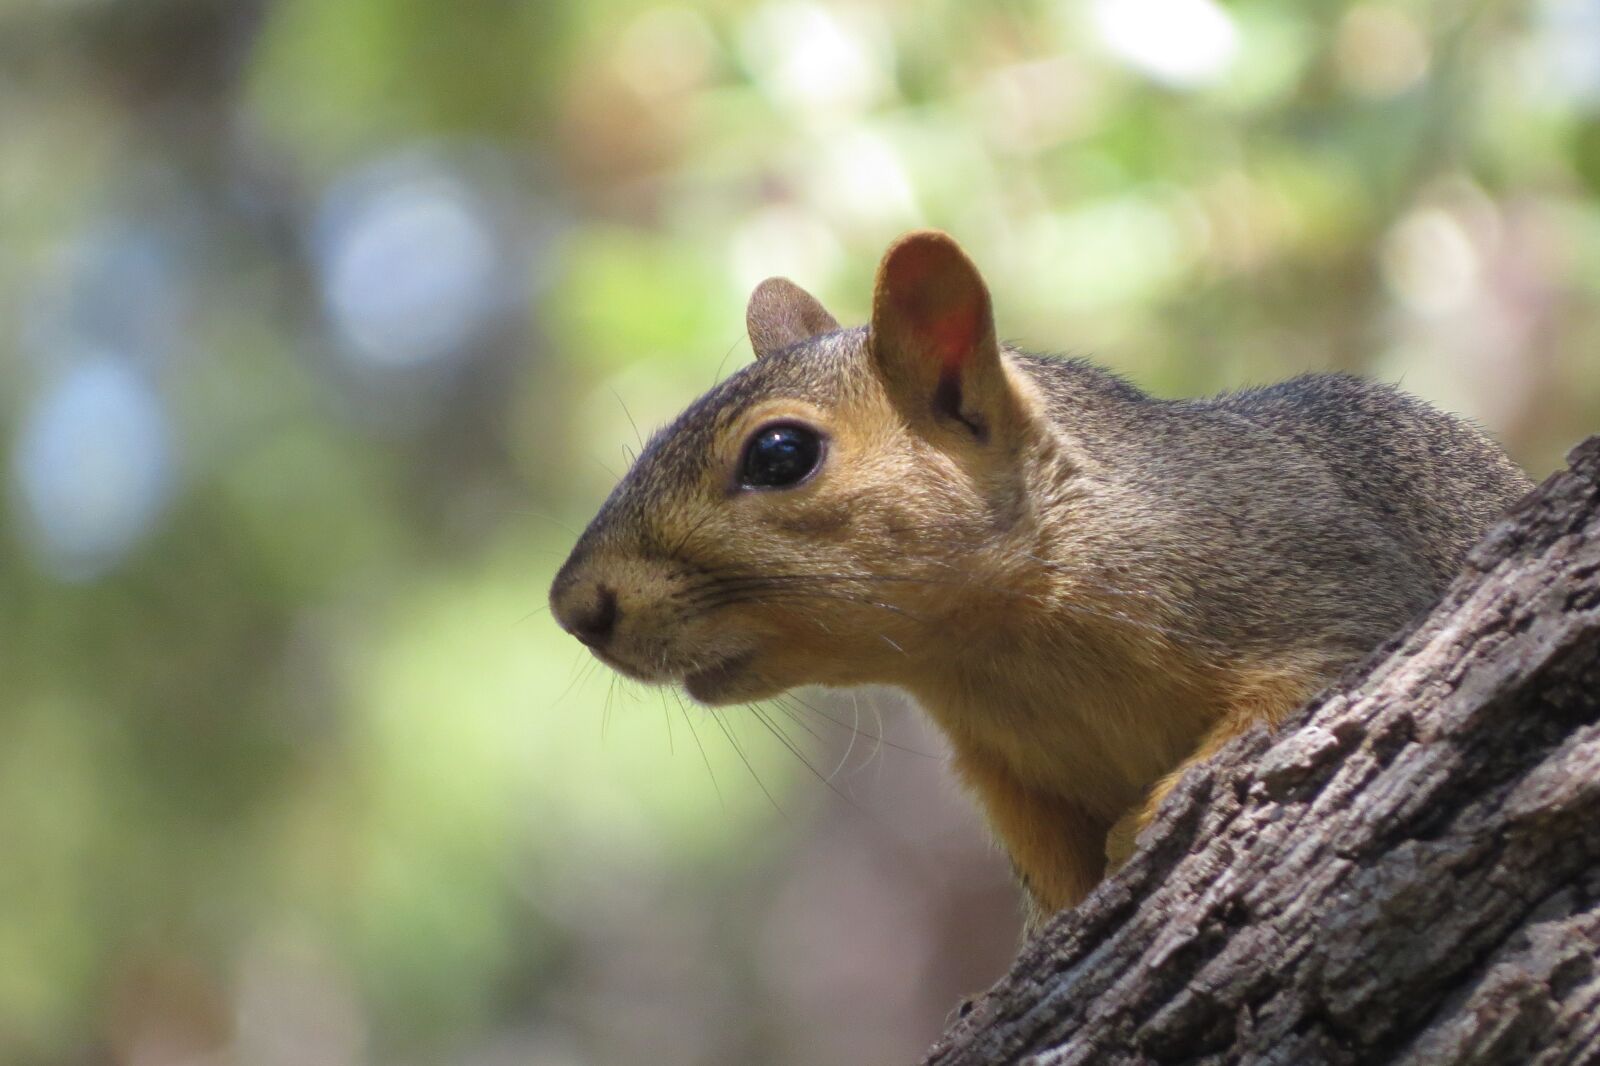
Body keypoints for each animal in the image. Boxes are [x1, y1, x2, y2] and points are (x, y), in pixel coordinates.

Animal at [549, 230, 1532, 928]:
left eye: (780, 454)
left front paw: (1148, 819)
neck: (1000, 652)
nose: (573, 606)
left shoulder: (1322, 579)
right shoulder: (1012, 783)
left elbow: (1301, 687)